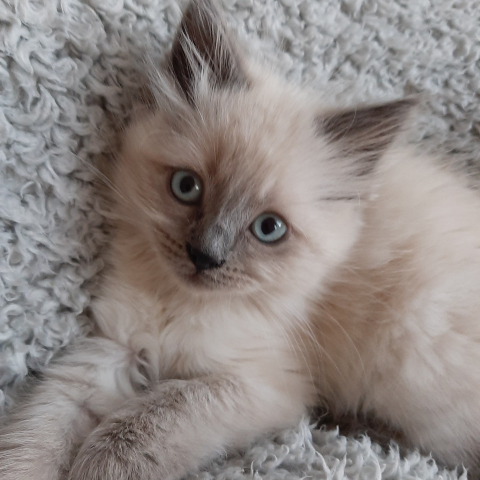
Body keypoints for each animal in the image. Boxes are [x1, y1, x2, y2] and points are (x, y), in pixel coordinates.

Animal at [0, 0, 480, 480]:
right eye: (186, 187)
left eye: (269, 229)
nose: (204, 256)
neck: (178, 302)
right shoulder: (115, 349)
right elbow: (41, 431)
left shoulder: (258, 386)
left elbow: (140, 425)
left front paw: (98, 465)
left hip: (412, 345)